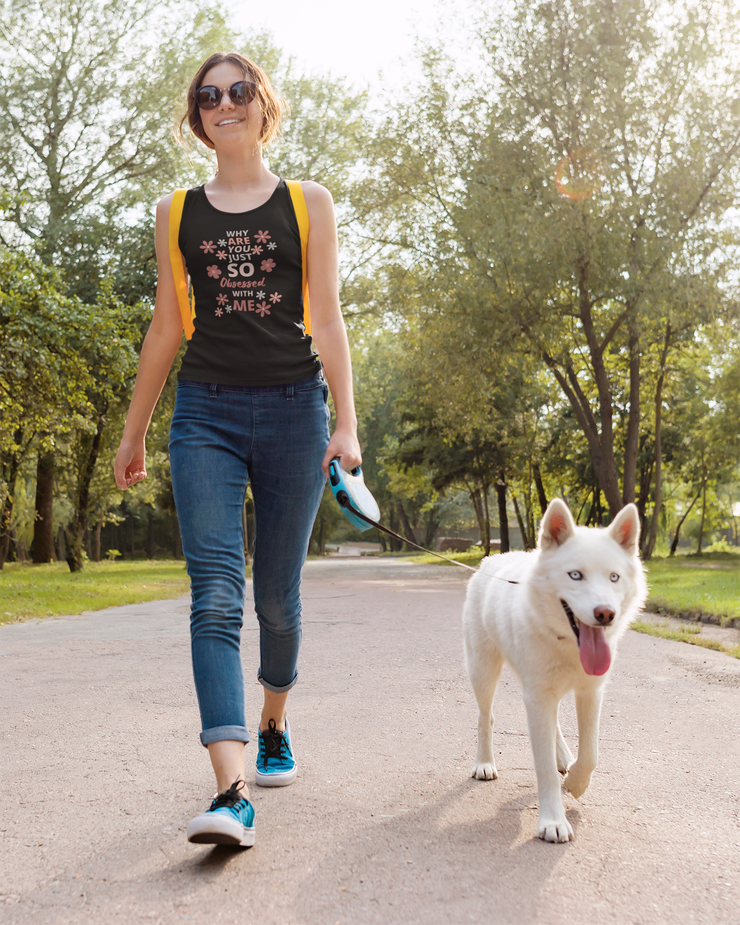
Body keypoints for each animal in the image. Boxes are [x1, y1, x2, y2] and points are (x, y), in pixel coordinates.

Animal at [462, 502, 648, 840]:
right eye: (575, 575)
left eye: (614, 577)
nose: (606, 614)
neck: (567, 643)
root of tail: (494, 558)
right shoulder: (537, 698)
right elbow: (544, 768)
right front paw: (552, 821)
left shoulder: (590, 692)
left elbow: (591, 753)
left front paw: (576, 781)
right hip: (482, 672)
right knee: (485, 718)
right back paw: (484, 763)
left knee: (555, 724)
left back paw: (564, 758)